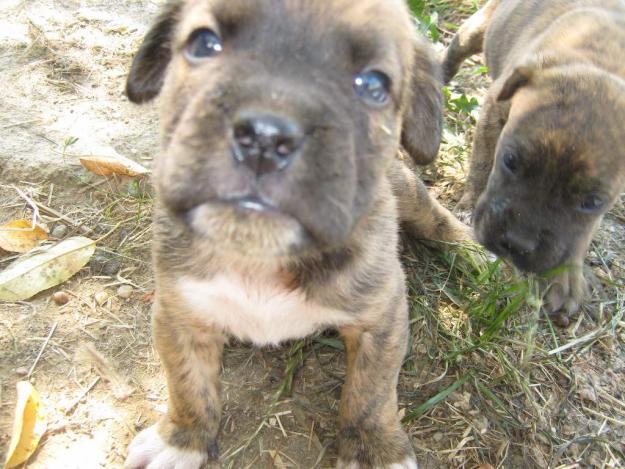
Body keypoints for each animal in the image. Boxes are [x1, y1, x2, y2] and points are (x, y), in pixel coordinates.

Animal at [124, 1, 470, 466]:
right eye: (204, 43)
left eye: (374, 85)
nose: (265, 137)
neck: (259, 253)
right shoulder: (180, 312)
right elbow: (187, 381)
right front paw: (183, 438)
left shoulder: (382, 316)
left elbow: (371, 392)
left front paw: (372, 447)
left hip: (407, 191)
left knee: (437, 218)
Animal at [442, 0, 624, 318]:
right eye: (510, 161)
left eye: (591, 202)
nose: (516, 244)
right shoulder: (494, 108)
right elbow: (481, 162)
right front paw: (468, 205)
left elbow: (581, 234)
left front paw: (565, 276)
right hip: (476, 29)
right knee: (455, 52)